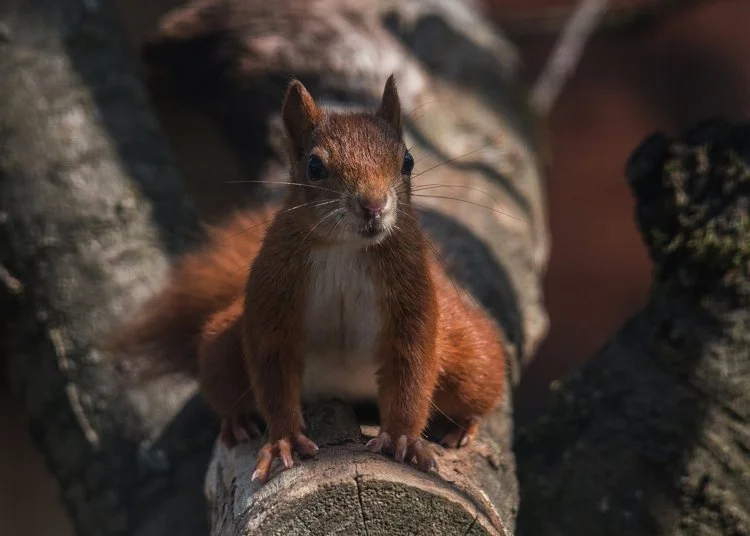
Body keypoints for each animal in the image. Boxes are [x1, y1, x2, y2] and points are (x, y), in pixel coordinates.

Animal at [109, 75, 506, 484]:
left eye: (408, 161)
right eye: (315, 166)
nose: (373, 206)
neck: (346, 247)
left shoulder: (414, 303)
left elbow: (412, 369)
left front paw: (402, 438)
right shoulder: (271, 296)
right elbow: (273, 370)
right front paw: (283, 439)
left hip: (471, 356)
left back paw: (461, 425)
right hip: (222, 348)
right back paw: (237, 420)